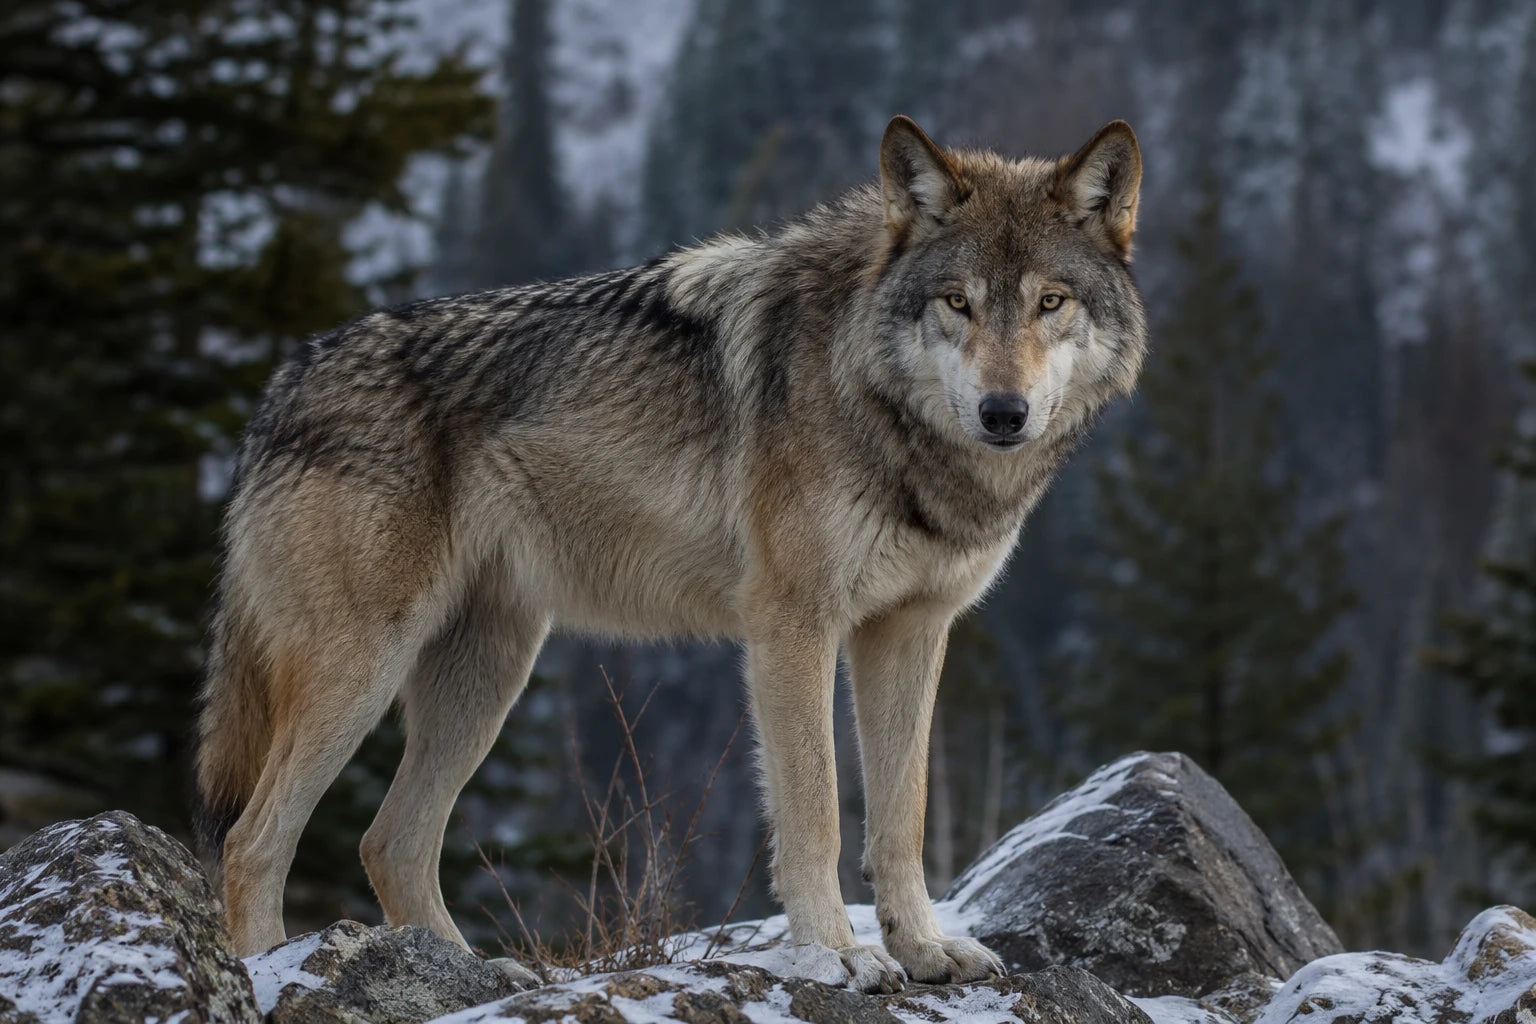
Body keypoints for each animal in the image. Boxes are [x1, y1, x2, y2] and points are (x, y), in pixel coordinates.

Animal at [193, 115, 1147, 992]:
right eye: (958, 302)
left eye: (1050, 302)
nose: (1003, 412)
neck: (879, 407)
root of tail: (283, 384)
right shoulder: (792, 625)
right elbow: (816, 811)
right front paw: (839, 955)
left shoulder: (910, 632)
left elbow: (901, 818)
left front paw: (922, 948)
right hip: (364, 666)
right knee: (251, 841)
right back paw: (268, 971)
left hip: (488, 674)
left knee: (388, 841)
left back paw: (480, 973)